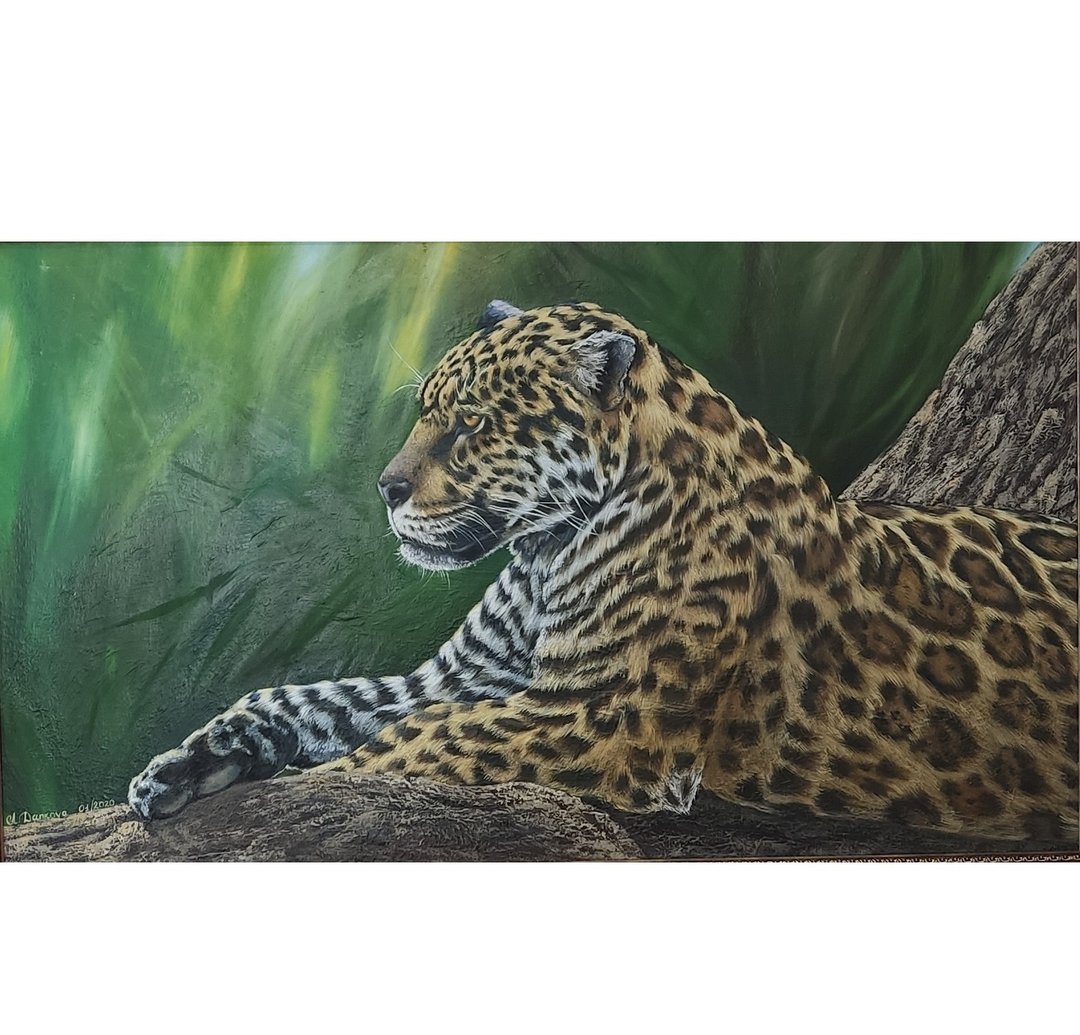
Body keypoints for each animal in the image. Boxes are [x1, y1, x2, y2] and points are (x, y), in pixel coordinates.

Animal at [129, 299, 1080, 846]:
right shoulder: (455, 678)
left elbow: (414, 744)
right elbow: (300, 699)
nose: (386, 489)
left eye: (472, 424)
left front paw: (311, 786)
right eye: (427, 410)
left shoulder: (607, 715)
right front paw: (175, 767)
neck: (545, 551)